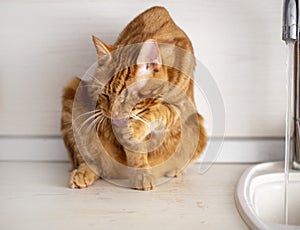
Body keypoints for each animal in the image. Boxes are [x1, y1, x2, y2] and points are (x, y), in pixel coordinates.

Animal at [60, 6, 207, 190]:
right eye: (104, 95)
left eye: (126, 97)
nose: (112, 115)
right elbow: (134, 148)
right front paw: (141, 174)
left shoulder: (183, 108)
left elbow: (162, 110)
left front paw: (137, 127)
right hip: (73, 94)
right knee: (94, 163)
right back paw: (84, 172)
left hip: (198, 128)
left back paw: (174, 170)